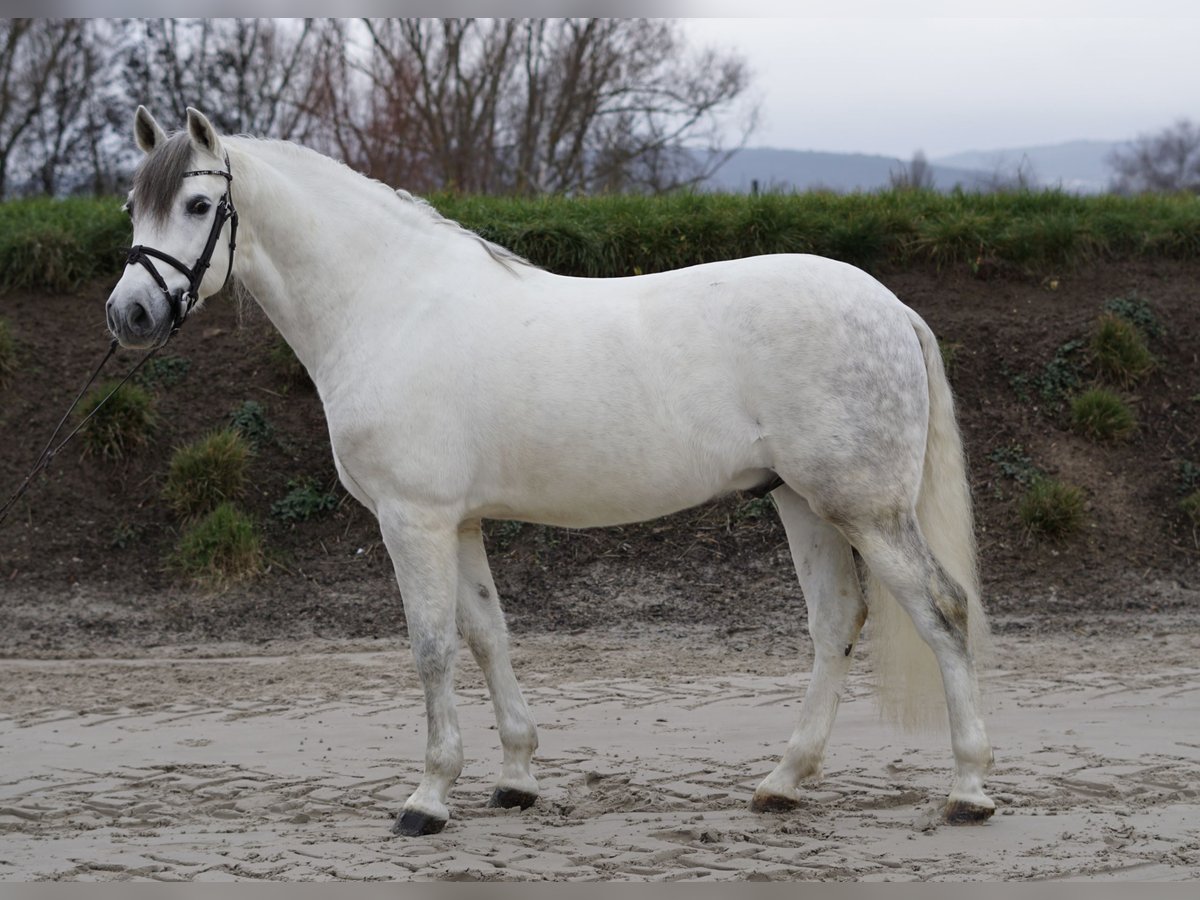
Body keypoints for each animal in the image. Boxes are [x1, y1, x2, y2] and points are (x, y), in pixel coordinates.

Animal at [108, 107, 993, 840]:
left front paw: (428, 799)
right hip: (804, 503)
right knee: (837, 620)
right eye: (131, 208)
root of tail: (890, 307)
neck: (389, 306)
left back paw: (968, 791)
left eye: (197, 206)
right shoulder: (460, 521)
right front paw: (516, 780)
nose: (130, 314)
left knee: (943, 610)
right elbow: (488, 636)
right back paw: (782, 782)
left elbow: (432, 647)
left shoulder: (412, 518)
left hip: (865, 509)